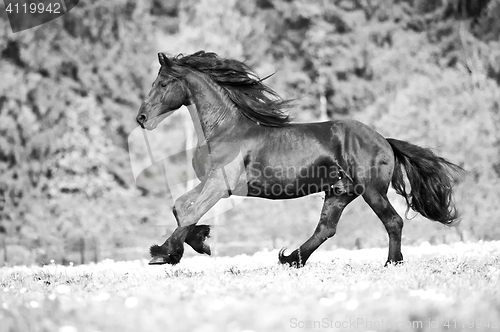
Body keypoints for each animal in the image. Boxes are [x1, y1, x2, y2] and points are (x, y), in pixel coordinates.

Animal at [135, 51, 462, 268]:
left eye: (163, 83)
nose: (142, 118)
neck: (226, 128)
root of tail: (384, 141)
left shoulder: (220, 185)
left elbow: (189, 211)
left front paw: (164, 253)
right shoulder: (211, 182)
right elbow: (180, 207)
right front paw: (198, 242)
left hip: (370, 190)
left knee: (393, 221)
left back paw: (391, 263)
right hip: (339, 192)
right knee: (326, 229)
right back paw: (291, 259)